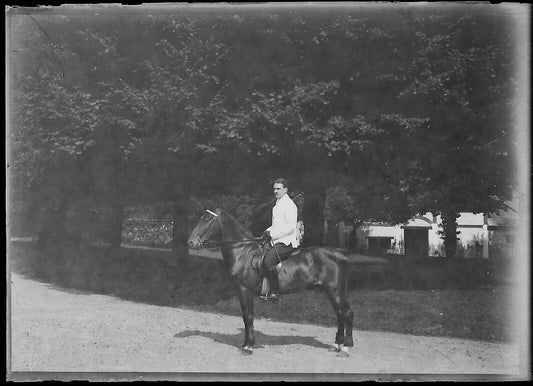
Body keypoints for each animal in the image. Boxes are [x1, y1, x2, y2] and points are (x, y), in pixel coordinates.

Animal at [187, 208, 354, 356]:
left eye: (208, 219)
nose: (191, 242)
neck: (243, 253)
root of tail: (340, 253)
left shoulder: (246, 291)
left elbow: (249, 317)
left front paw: (249, 346)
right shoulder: (241, 292)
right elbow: (245, 317)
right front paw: (245, 343)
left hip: (336, 291)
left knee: (347, 314)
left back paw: (346, 348)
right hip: (330, 292)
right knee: (340, 314)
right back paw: (337, 345)